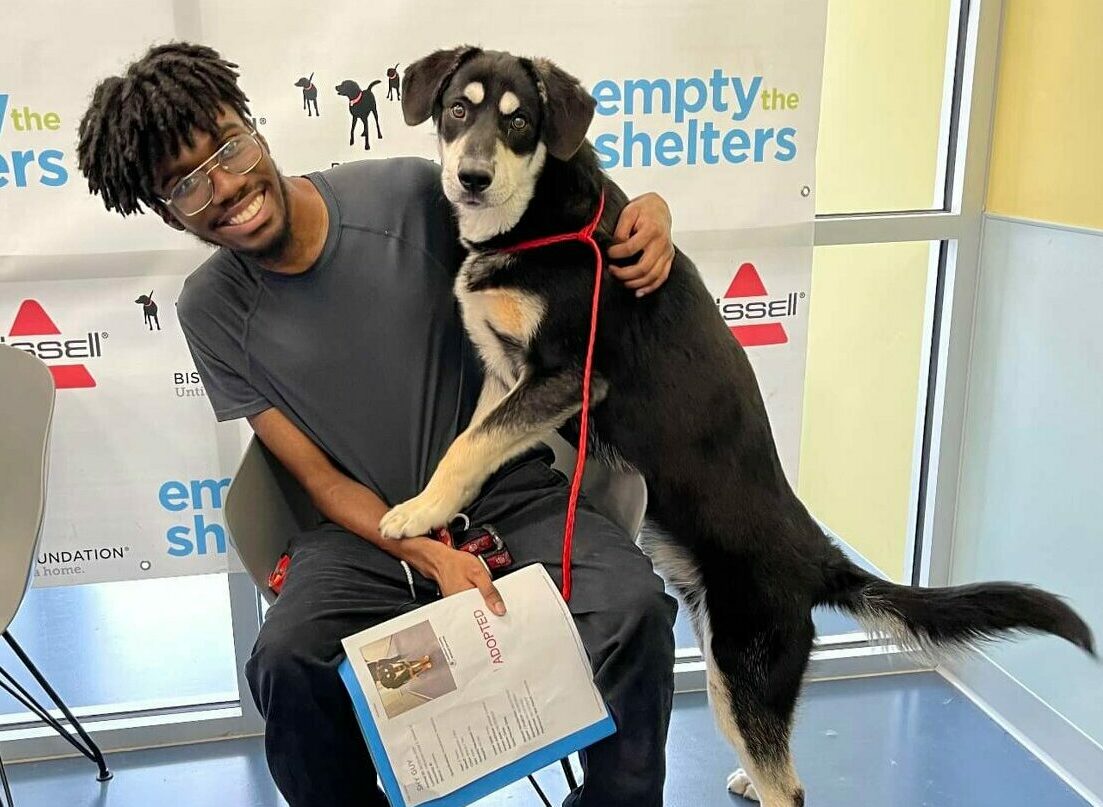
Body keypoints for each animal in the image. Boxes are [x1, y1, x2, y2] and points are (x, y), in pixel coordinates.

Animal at [379, 45, 1094, 807]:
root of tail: (817, 555)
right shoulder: (507, 374)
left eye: (519, 124)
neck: (542, 217)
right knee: (783, 772)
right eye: (460, 109)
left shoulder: (567, 375)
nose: (471, 177)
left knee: (790, 789)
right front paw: (442, 509)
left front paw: (416, 510)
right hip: (728, 661)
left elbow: (469, 444)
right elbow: (472, 438)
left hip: (742, 669)